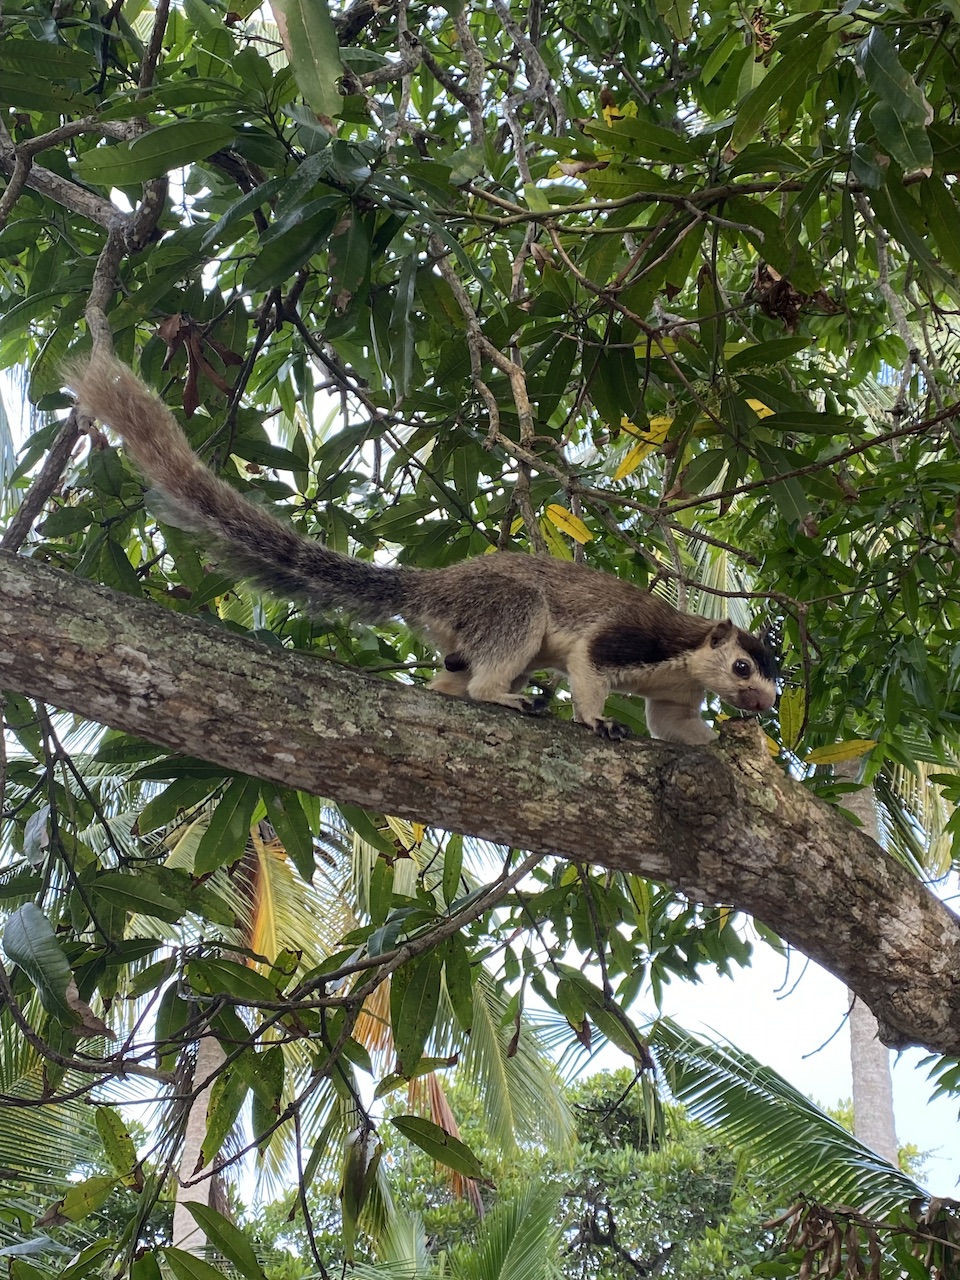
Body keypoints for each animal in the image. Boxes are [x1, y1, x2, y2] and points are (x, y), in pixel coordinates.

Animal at [67, 354, 778, 745]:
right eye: (744, 668)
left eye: (775, 677)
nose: (766, 705)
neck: (687, 660)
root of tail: (434, 584)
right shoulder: (629, 643)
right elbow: (589, 671)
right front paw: (596, 721)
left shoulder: (675, 696)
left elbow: (678, 731)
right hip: (505, 609)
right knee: (498, 657)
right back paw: (502, 696)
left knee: (452, 679)